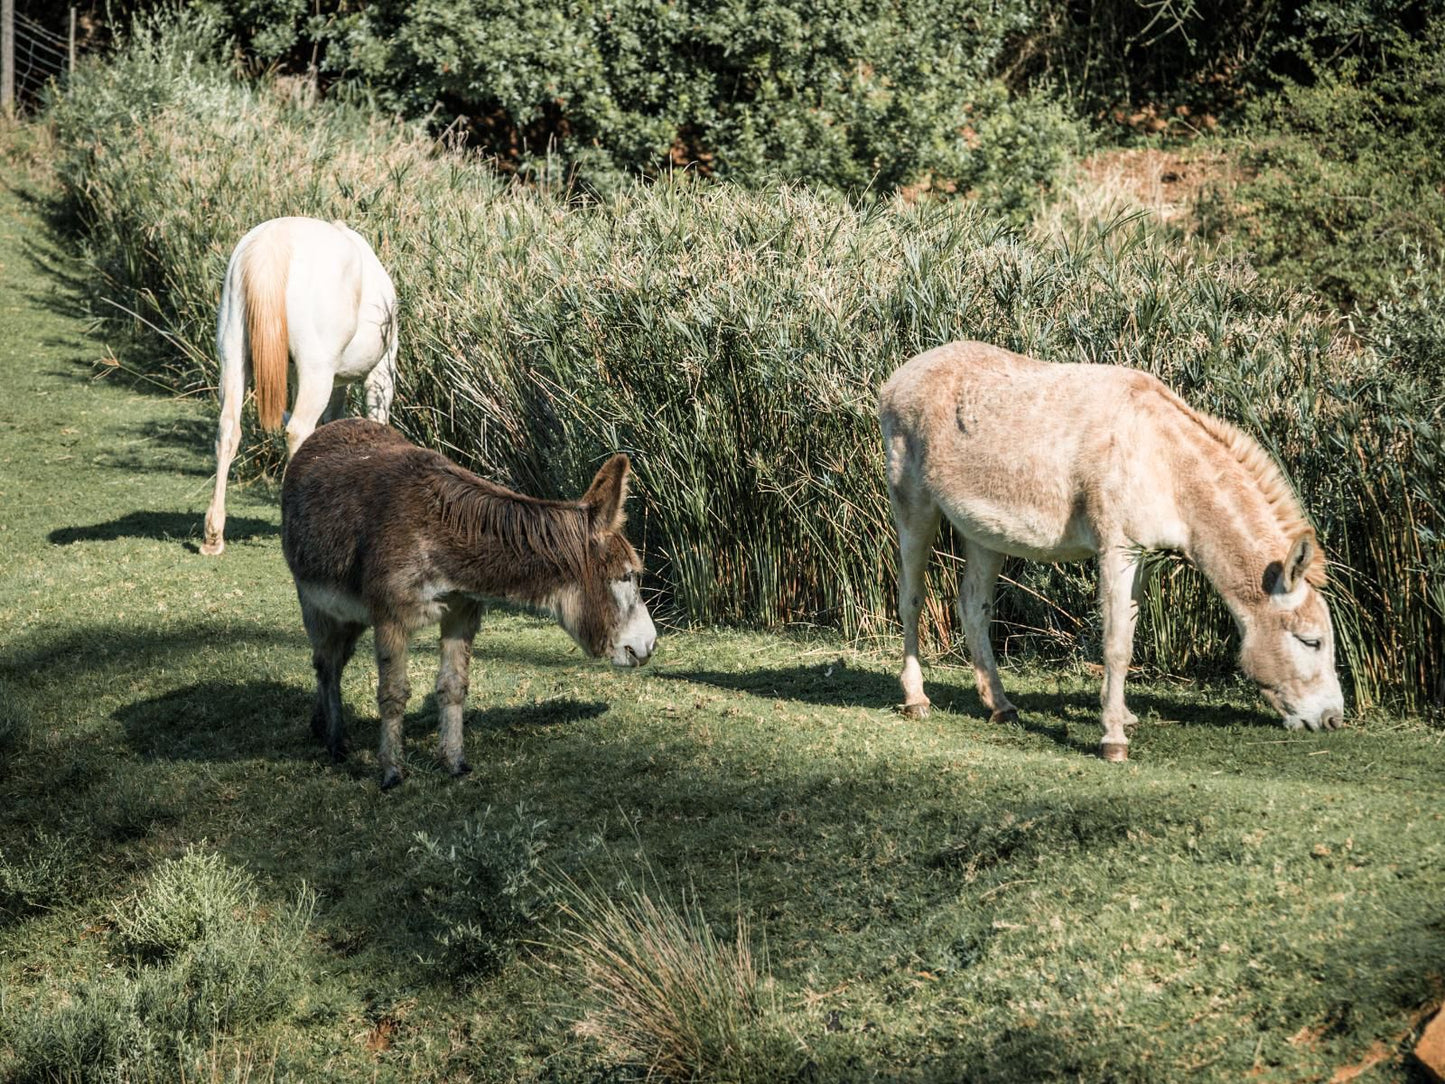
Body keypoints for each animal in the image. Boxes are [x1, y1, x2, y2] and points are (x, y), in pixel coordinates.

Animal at [200, 221, 398, 560]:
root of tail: (272, 243)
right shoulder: (380, 373)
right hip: (317, 370)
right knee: (297, 431)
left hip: (232, 355)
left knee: (228, 429)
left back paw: (213, 536)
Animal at [872, 341, 1346, 763]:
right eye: (1311, 641)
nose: (1333, 721)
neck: (1167, 464)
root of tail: (901, 375)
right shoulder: (1117, 550)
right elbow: (1116, 643)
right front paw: (1113, 740)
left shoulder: (1142, 557)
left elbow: (1130, 635)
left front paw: (1121, 714)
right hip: (914, 506)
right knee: (911, 599)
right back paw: (916, 700)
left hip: (984, 531)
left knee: (973, 606)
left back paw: (1001, 707)